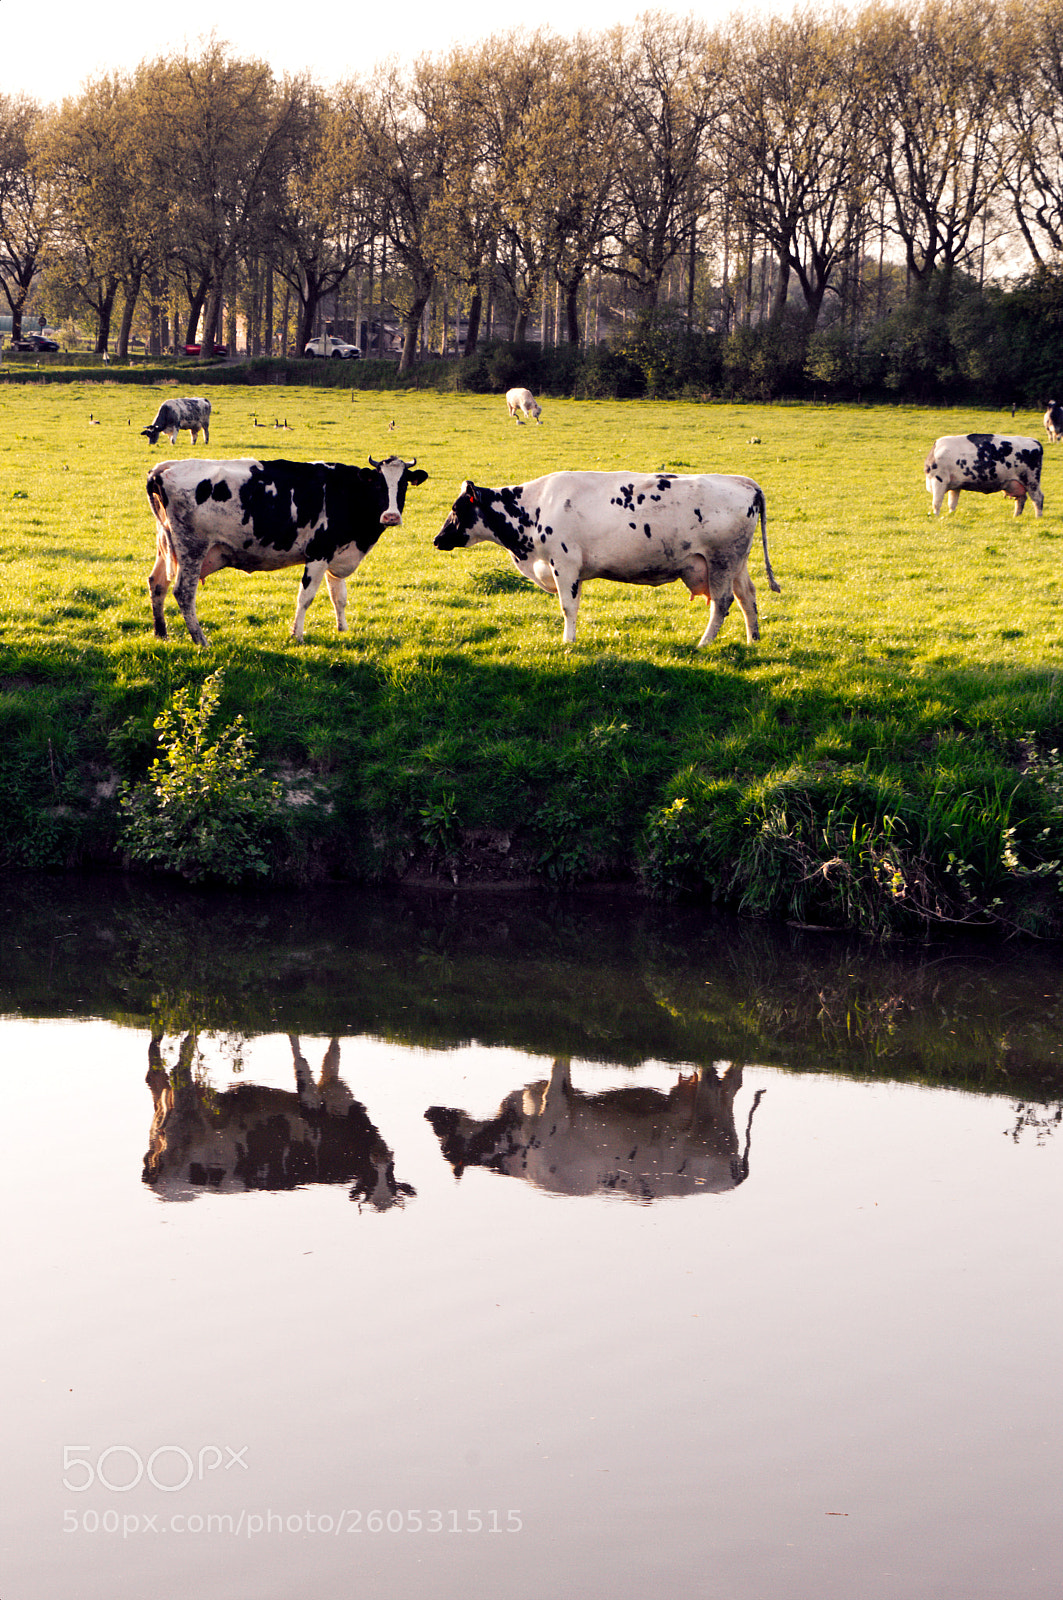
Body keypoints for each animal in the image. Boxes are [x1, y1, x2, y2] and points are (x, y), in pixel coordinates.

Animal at [143, 1032, 415, 1209]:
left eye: (391, 1176)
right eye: (370, 1178)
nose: (380, 1154)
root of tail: (160, 1188)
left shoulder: (336, 1090)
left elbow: (333, 1054)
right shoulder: (312, 1105)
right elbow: (300, 1062)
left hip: (163, 1108)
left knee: (154, 1072)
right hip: (183, 1113)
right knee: (180, 1066)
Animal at [146, 453, 428, 644]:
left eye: (403, 485)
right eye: (379, 484)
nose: (391, 516)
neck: (347, 493)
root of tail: (165, 467)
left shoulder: (336, 554)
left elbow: (339, 597)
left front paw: (342, 630)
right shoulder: (318, 553)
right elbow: (305, 597)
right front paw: (297, 635)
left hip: (165, 544)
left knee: (157, 583)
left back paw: (162, 634)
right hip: (192, 547)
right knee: (183, 592)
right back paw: (201, 640)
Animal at [426, 1058, 763, 1201]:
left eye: (444, 1143)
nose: (428, 1112)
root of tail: (734, 1176)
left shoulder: (556, 1103)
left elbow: (558, 1066)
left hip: (708, 1113)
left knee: (722, 1076)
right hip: (714, 1107)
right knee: (734, 1080)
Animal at [433, 469, 779, 647]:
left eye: (456, 509)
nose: (437, 539)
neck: (534, 508)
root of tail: (743, 481)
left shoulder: (565, 565)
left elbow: (568, 607)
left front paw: (568, 642)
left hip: (721, 561)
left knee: (722, 603)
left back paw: (704, 643)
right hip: (736, 564)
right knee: (747, 596)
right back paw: (753, 640)